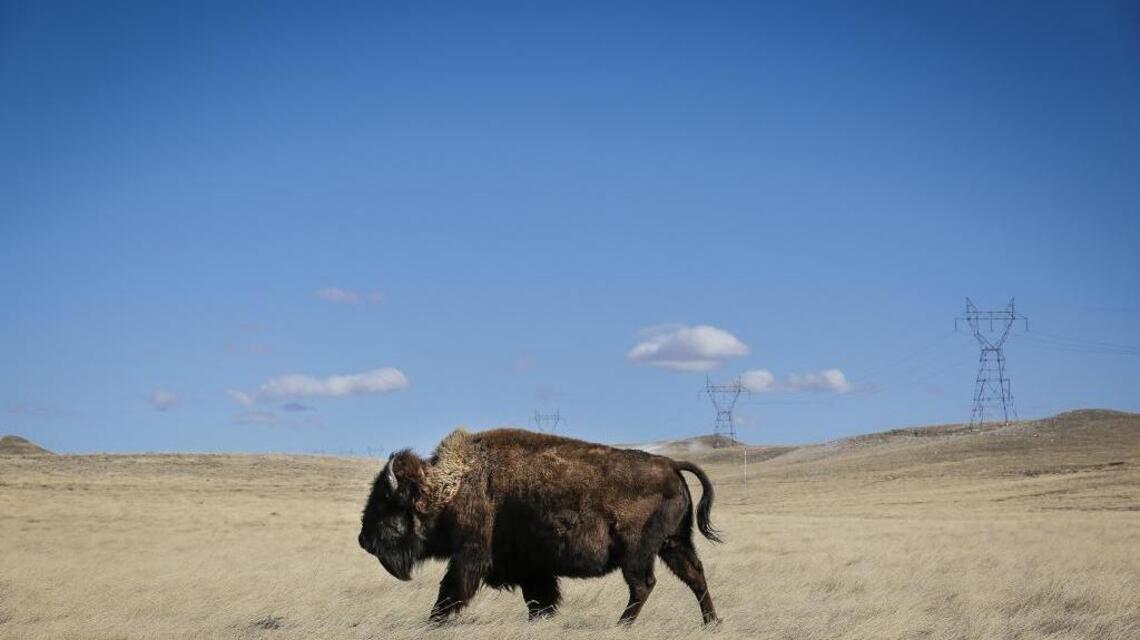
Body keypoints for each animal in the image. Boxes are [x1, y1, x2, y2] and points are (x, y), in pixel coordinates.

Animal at [358, 428, 721, 625]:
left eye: (385, 503)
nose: (364, 540)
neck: (452, 486)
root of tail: (671, 465)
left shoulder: (470, 557)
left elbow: (451, 592)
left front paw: (432, 622)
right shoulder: (531, 569)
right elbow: (539, 600)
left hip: (637, 553)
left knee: (644, 585)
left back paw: (622, 626)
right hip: (673, 544)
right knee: (694, 575)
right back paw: (711, 623)